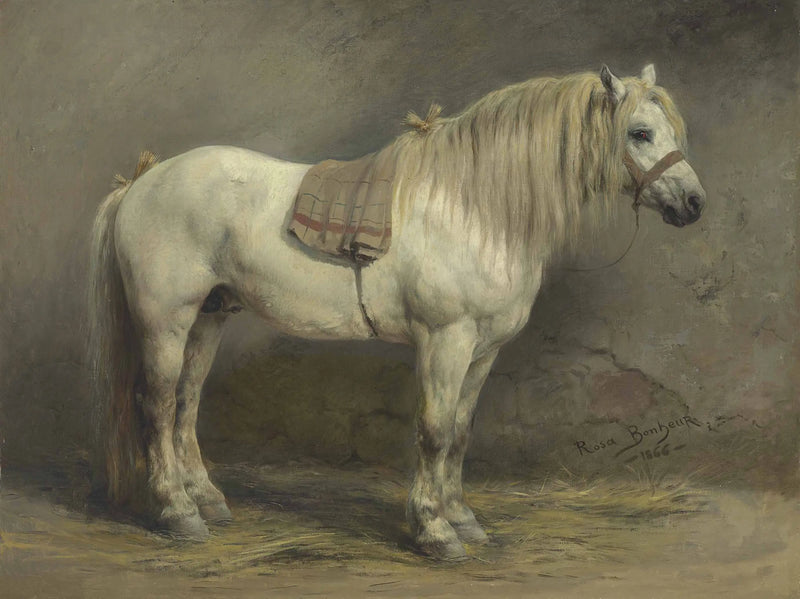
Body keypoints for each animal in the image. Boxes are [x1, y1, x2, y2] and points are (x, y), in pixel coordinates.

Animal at [88, 64, 705, 560]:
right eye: (640, 132)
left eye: (672, 131)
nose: (695, 203)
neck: (476, 208)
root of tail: (143, 180)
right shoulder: (445, 340)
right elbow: (433, 432)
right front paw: (434, 532)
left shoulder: (483, 351)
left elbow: (459, 434)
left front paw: (462, 518)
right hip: (165, 321)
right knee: (157, 405)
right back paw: (177, 513)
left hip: (209, 317)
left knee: (186, 406)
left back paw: (207, 502)